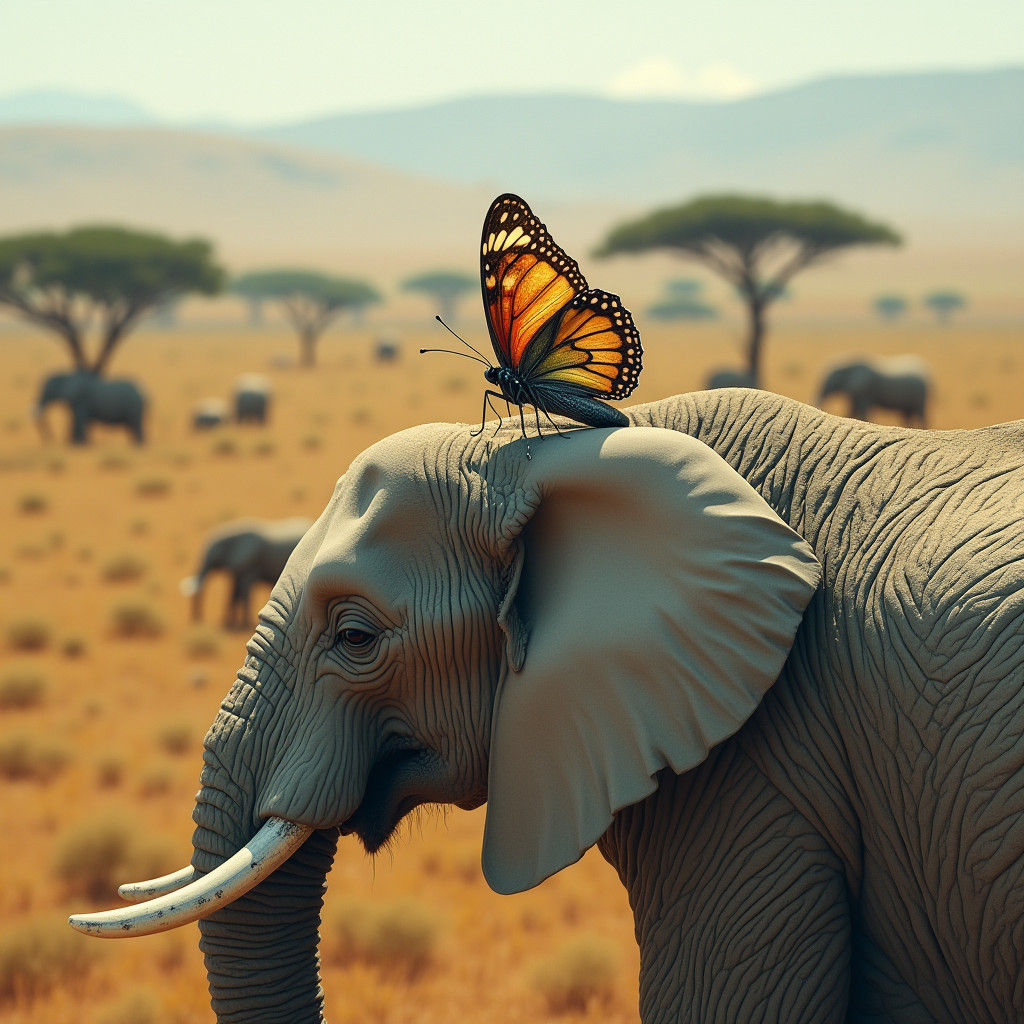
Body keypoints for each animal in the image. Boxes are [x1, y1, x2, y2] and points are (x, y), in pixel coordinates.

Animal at [181, 517, 312, 629]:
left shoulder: (250, 564)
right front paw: (229, 623)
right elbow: (234, 593)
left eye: (215, 555)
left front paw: (244, 624)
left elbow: (244, 593)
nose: (197, 620)